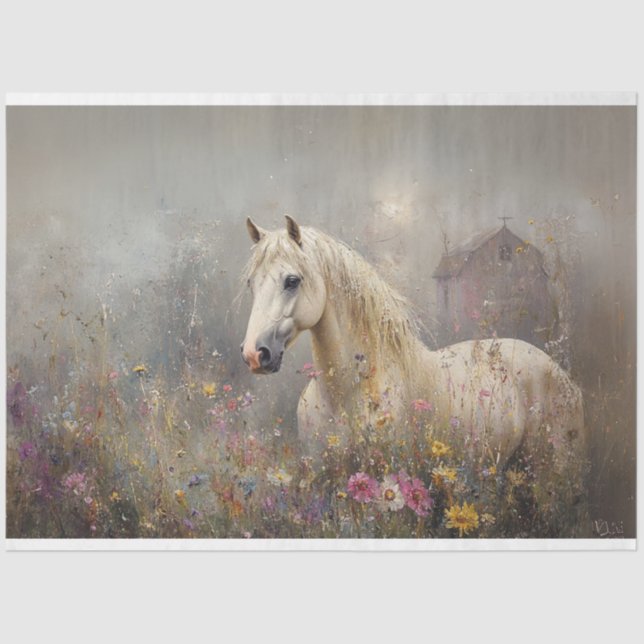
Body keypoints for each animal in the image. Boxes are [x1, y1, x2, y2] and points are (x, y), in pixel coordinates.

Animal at [240, 215, 589, 536]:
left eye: (292, 281)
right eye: (251, 283)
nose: (255, 355)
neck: (350, 390)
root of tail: (559, 372)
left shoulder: (384, 482)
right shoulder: (329, 481)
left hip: (551, 471)